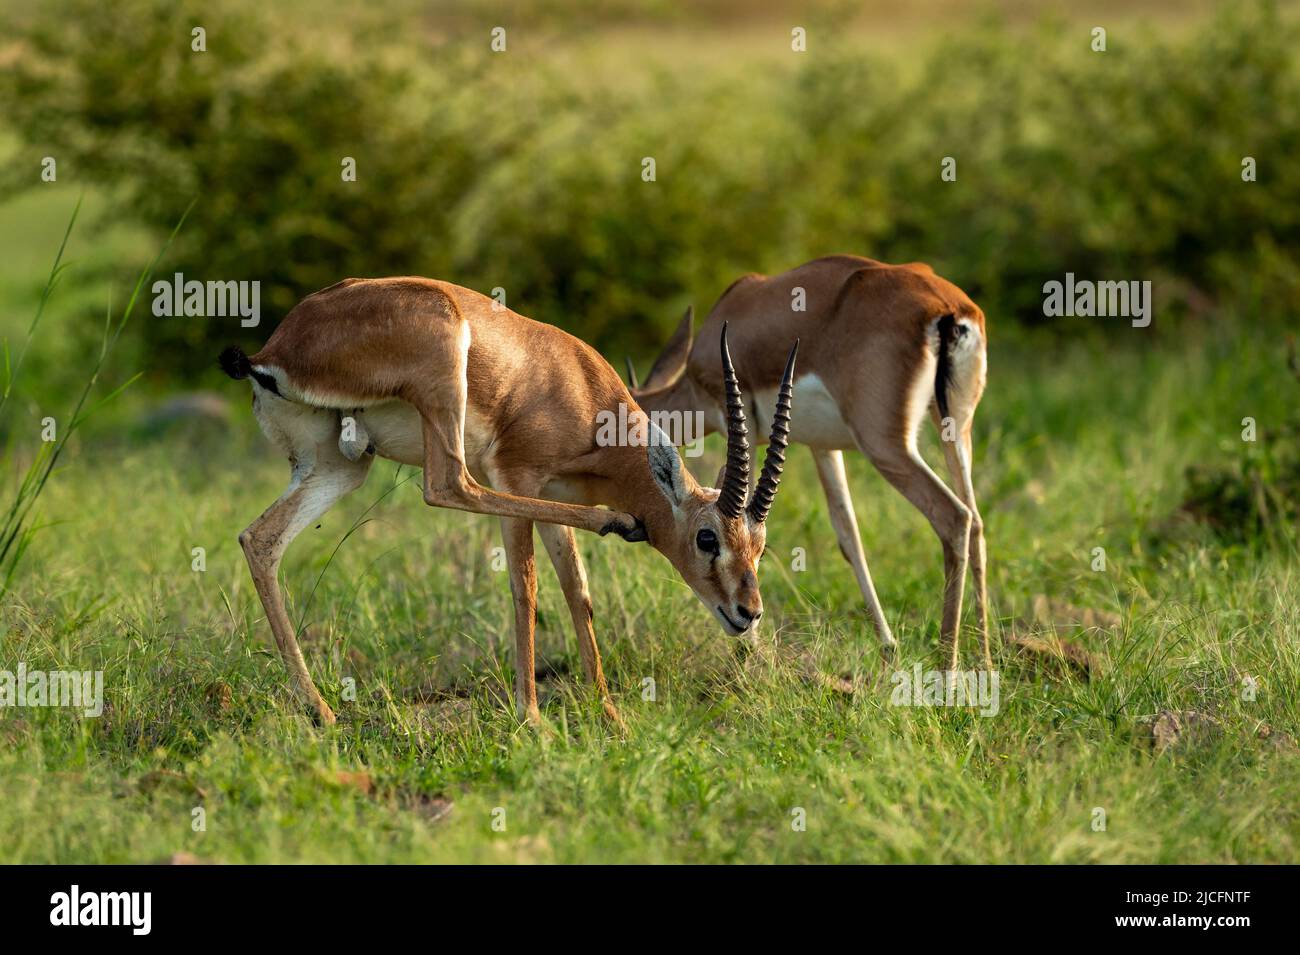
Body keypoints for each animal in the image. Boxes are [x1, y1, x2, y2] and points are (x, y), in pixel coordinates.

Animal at [219, 277, 798, 728]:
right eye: (708, 538)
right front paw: (533, 718)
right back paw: (615, 520)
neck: (579, 386)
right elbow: (528, 588)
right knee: (449, 486)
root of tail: (275, 350)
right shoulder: (518, 479)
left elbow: (578, 590)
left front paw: (611, 715)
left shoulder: (548, 496)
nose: (748, 613)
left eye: (760, 546)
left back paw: (321, 711)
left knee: (259, 540)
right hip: (442, 397)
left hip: (339, 465)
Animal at [628, 255, 989, 670]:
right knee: (977, 521)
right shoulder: (822, 446)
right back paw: (986, 656)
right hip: (957, 431)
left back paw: (948, 664)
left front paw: (749, 652)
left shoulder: (742, 425)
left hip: (886, 446)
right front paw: (888, 645)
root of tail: (946, 308)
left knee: (955, 516)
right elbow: (849, 535)